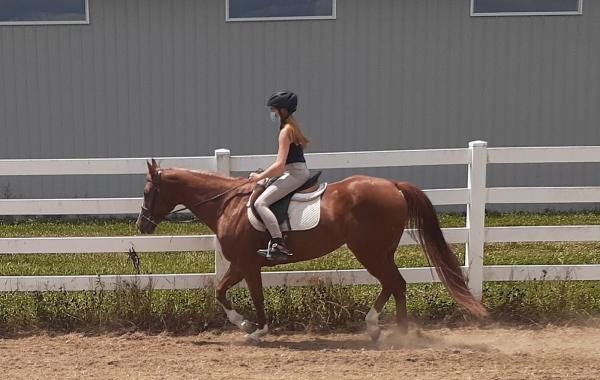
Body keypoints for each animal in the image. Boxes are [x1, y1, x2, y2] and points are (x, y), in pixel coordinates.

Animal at [137, 159, 488, 342]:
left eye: (147, 190)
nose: (142, 225)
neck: (228, 205)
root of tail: (392, 185)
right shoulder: (241, 264)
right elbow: (221, 292)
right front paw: (250, 326)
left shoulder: (246, 264)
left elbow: (240, 296)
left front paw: (254, 329)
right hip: (380, 251)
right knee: (395, 284)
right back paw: (387, 329)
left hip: (370, 251)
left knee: (394, 283)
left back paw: (389, 331)